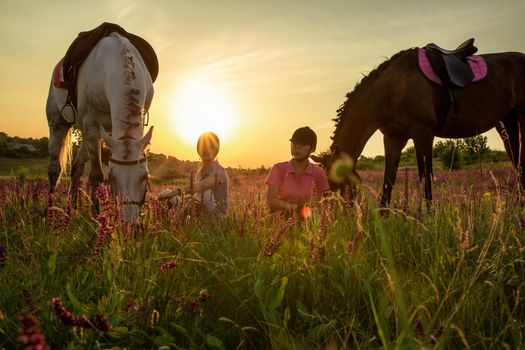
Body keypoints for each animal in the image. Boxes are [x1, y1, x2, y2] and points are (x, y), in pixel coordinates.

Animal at [45, 32, 154, 223]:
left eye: (145, 176)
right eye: (112, 178)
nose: (129, 224)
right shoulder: (93, 126)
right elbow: (96, 175)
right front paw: (97, 218)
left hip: (87, 132)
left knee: (76, 168)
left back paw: (71, 212)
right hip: (58, 124)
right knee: (54, 169)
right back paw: (50, 214)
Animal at [312, 46, 524, 205]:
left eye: (337, 183)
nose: (337, 217)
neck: (392, 89)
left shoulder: (423, 134)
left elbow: (426, 178)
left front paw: (428, 220)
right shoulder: (393, 138)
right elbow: (388, 181)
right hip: (507, 123)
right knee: (517, 163)